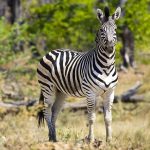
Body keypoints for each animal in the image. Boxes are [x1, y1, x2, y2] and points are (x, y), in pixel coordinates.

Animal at [37, 6, 121, 143]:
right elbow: (91, 118)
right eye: (101, 30)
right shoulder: (90, 93)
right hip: (47, 87)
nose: (109, 47)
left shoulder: (110, 93)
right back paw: (51, 138)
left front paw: (109, 140)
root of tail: (52, 51)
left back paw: (54, 138)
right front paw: (91, 140)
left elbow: (108, 118)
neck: (107, 67)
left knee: (54, 112)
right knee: (47, 111)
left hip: (61, 92)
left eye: (115, 29)